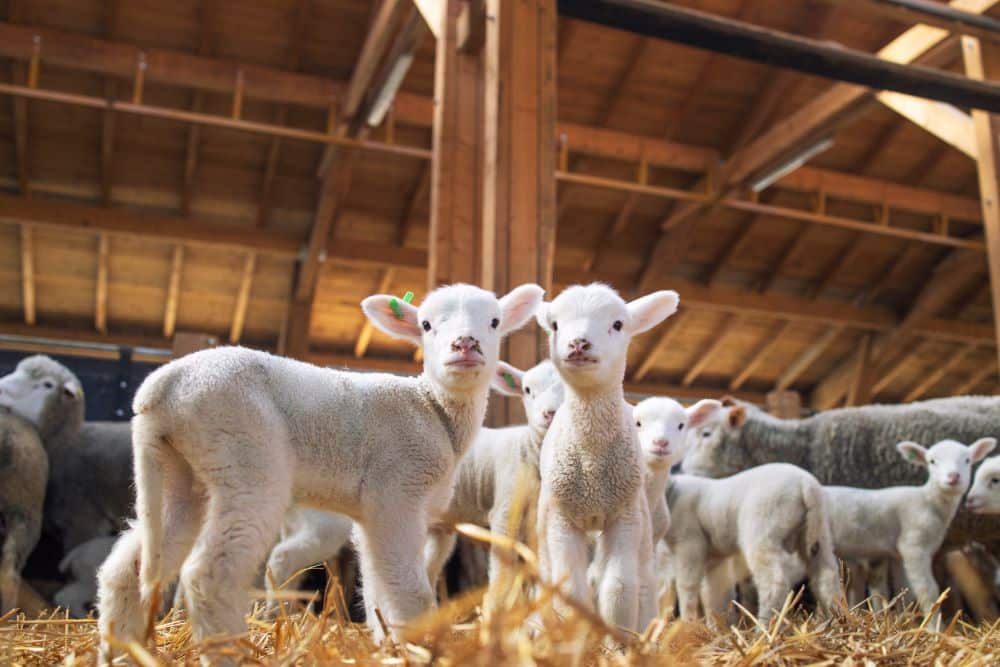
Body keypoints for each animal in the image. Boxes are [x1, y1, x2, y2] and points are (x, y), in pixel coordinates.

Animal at [95, 282, 543, 656]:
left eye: (494, 322)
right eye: (427, 325)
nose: (465, 345)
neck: (433, 408)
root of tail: (161, 388)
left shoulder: (374, 513)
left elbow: (377, 583)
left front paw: (385, 641)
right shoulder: (397, 491)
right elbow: (407, 587)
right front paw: (418, 644)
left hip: (179, 471)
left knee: (127, 568)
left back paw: (120, 651)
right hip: (245, 456)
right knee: (210, 572)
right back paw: (231, 651)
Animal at [425, 359, 564, 600]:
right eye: (527, 390)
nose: (550, 413)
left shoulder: (536, 518)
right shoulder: (504, 509)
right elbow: (502, 572)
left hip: (438, 526)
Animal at [534, 283, 678, 633]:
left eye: (617, 324)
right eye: (555, 325)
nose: (578, 343)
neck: (591, 463)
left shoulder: (623, 516)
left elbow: (619, 588)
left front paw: (619, 640)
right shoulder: (561, 518)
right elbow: (571, 591)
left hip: (641, 518)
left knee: (644, 580)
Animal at [664, 463, 844, 623]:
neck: (672, 495)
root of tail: (806, 483)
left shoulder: (689, 543)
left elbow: (687, 586)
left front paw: (688, 623)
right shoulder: (714, 557)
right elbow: (713, 594)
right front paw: (716, 628)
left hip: (762, 528)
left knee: (774, 583)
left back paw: (763, 627)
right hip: (818, 530)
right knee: (826, 576)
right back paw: (836, 618)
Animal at [823, 437, 996, 622]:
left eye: (967, 460)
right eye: (932, 461)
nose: (953, 477)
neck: (928, 500)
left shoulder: (898, 556)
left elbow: (904, 591)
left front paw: (905, 619)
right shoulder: (913, 546)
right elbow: (928, 591)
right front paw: (933, 626)